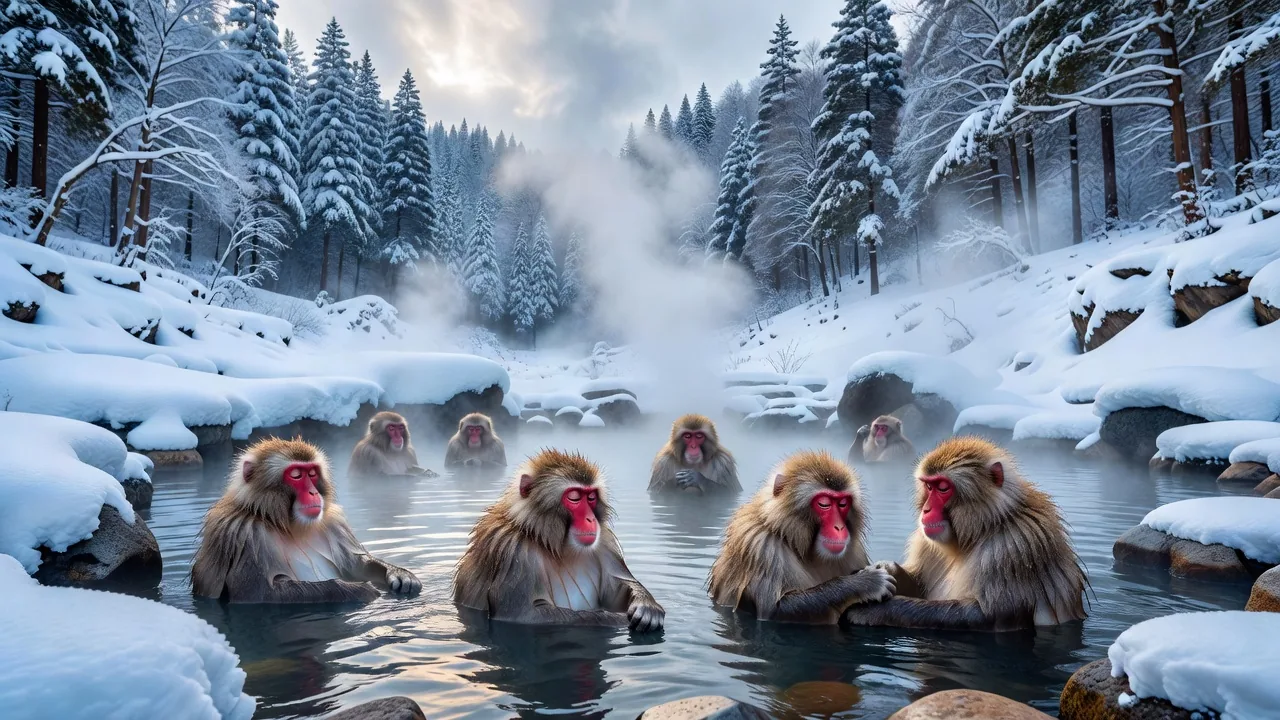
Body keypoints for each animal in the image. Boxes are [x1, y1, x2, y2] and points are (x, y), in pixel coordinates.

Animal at [193, 437, 422, 603]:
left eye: (312, 473)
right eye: (295, 474)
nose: (313, 492)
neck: (288, 525)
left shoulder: (333, 524)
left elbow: (357, 565)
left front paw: (400, 575)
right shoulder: (244, 534)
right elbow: (258, 594)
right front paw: (357, 590)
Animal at [452, 449, 665, 632]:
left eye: (591, 497)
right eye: (574, 497)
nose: (591, 519)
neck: (551, 542)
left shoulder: (604, 543)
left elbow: (618, 588)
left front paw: (648, 606)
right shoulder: (512, 552)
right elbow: (521, 615)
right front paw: (617, 620)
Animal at [707, 450, 896, 624]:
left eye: (843, 503)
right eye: (824, 504)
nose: (839, 527)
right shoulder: (761, 546)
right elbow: (772, 611)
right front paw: (865, 583)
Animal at [842, 437, 1087, 631]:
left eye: (943, 488)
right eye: (929, 487)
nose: (926, 510)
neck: (979, 530)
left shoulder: (1015, 549)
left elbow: (990, 616)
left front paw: (876, 611)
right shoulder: (928, 543)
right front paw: (883, 569)